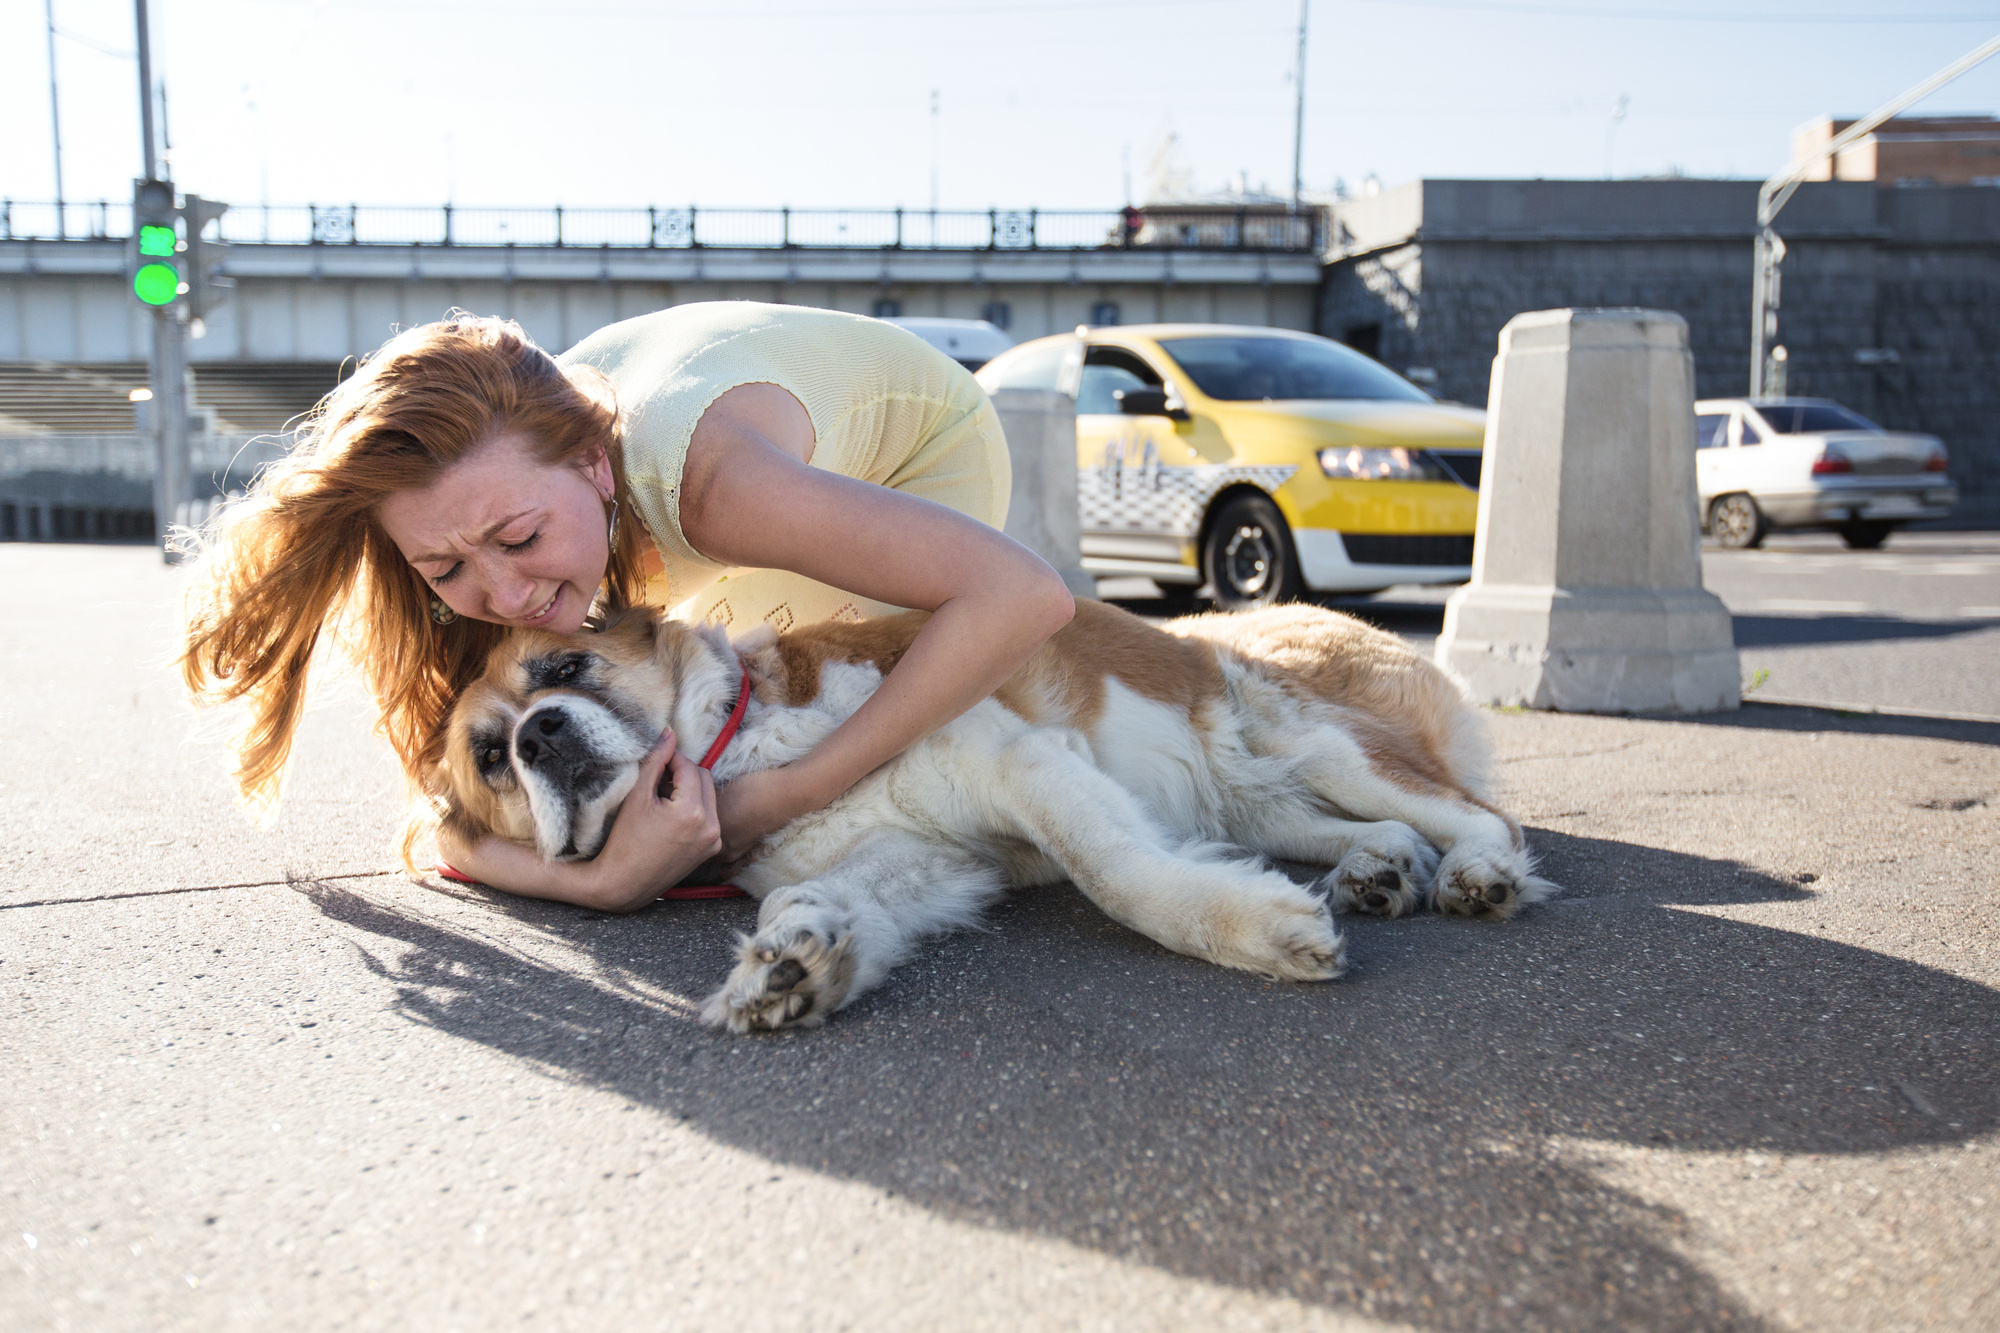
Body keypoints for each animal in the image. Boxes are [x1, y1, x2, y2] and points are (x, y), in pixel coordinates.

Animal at [442, 596, 1560, 1032]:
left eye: (564, 669)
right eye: (490, 758)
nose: (539, 735)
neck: (745, 739)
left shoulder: (1019, 762)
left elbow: (1119, 874)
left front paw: (1258, 932)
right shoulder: (930, 855)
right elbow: (823, 897)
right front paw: (794, 962)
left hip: (1316, 741)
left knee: (1480, 816)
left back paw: (1478, 876)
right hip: (1257, 801)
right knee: (1370, 830)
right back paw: (1378, 871)